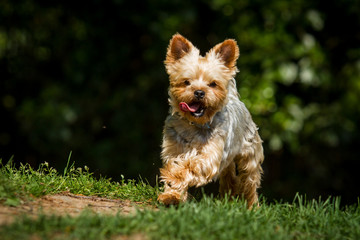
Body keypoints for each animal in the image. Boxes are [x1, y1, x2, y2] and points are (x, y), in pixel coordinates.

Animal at [158, 33, 264, 208]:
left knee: (249, 181)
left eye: (213, 84)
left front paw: (175, 176)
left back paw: (252, 207)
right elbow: (175, 163)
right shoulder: (172, 149)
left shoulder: (211, 156)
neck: (194, 124)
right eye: (186, 81)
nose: (199, 92)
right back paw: (228, 200)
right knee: (229, 177)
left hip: (250, 156)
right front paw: (172, 195)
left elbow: (191, 164)